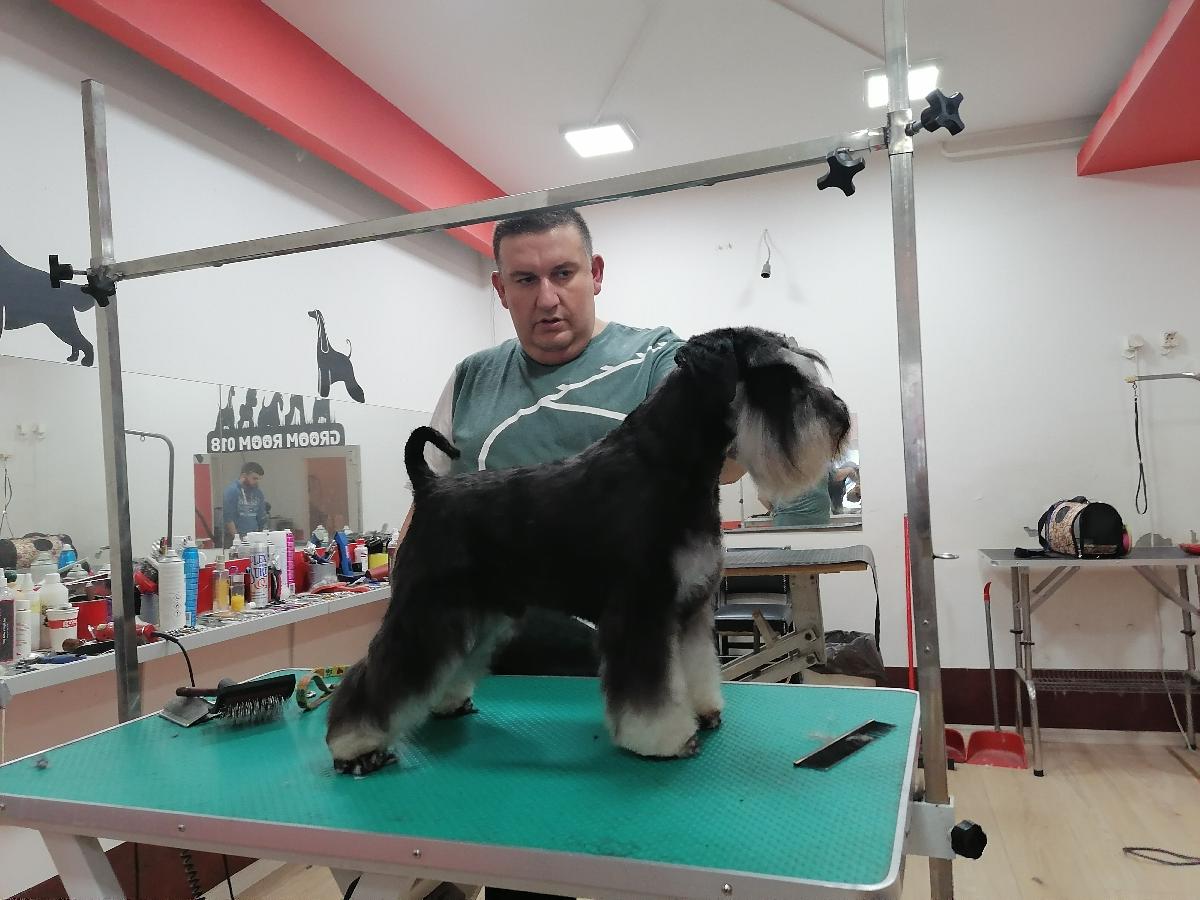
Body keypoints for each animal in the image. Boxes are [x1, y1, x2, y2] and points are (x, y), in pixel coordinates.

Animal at [325, 327, 850, 775]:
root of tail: (430, 487)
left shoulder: (689, 609)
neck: (670, 463)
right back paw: (354, 746)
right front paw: (663, 738)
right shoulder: (641, 610)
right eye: (777, 375)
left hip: (478, 611)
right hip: (426, 608)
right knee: (382, 673)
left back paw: (447, 703)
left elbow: (696, 667)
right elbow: (649, 689)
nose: (841, 419)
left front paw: (703, 711)